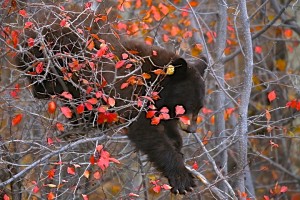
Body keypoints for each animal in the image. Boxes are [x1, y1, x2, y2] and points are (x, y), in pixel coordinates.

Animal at [15, 15, 206, 194]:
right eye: (188, 106)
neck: (155, 80)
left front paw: (178, 147)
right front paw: (181, 177)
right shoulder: (132, 92)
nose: (193, 130)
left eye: (199, 108)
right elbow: (146, 132)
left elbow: (167, 128)